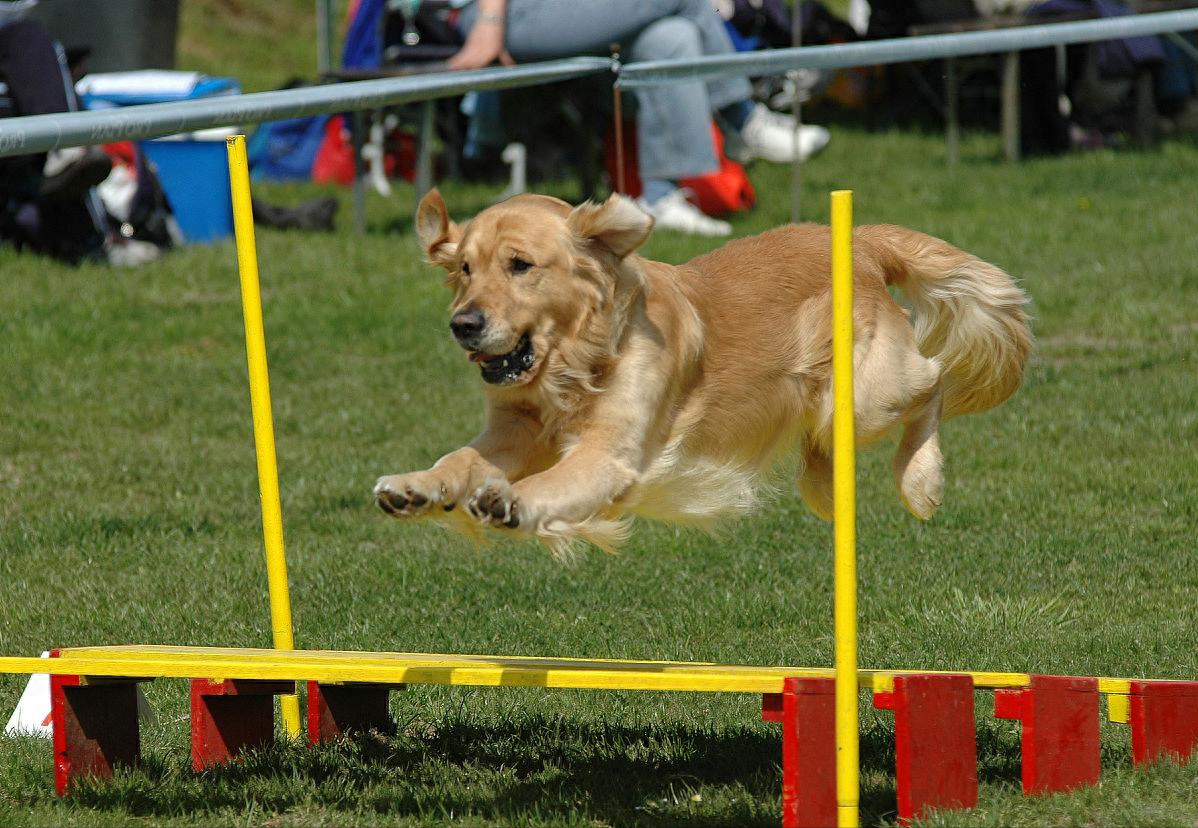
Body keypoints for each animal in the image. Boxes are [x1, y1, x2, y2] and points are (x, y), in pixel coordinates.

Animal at [376, 190, 1030, 553]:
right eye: (464, 268)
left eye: (520, 265)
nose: (463, 324)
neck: (578, 360)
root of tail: (862, 243)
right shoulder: (513, 428)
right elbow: (461, 459)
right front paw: (415, 486)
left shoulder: (610, 455)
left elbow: (548, 484)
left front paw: (509, 501)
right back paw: (825, 488)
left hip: (871, 394)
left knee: (933, 377)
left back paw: (921, 483)